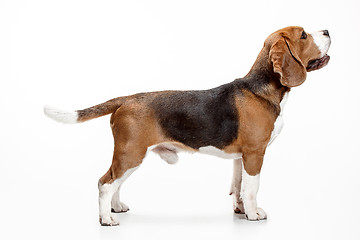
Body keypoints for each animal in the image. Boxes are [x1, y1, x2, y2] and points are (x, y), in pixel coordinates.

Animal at [43, 26, 330, 227]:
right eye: (303, 35)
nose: (328, 31)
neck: (260, 88)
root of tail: (126, 99)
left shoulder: (241, 157)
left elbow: (238, 186)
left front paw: (239, 210)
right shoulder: (254, 153)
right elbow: (252, 188)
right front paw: (253, 214)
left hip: (128, 156)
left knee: (115, 183)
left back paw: (116, 208)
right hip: (131, 154)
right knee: (105, 183)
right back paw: (106, 219)